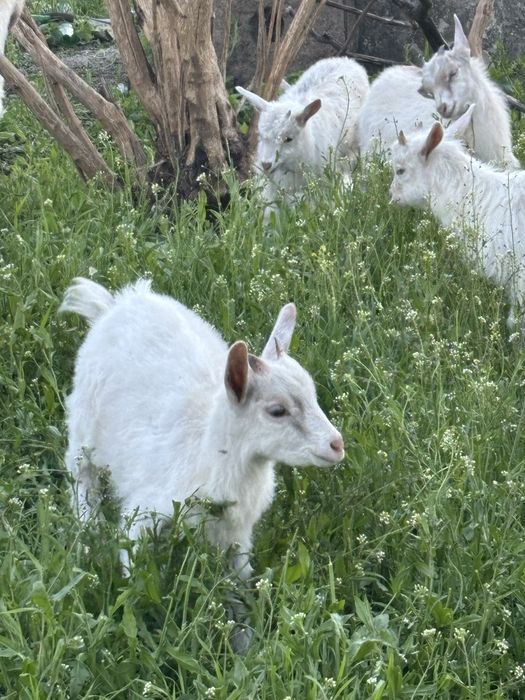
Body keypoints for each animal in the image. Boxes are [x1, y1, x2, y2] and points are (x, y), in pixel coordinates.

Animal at [61, 278, 345, 577]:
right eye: (277, 411)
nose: (336, 445)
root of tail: (116, 303)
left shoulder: (238, 533)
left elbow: (241, 576)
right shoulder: (144, 510)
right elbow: (133, 559)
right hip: (83, 421)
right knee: (80, 474)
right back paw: (88, 529)